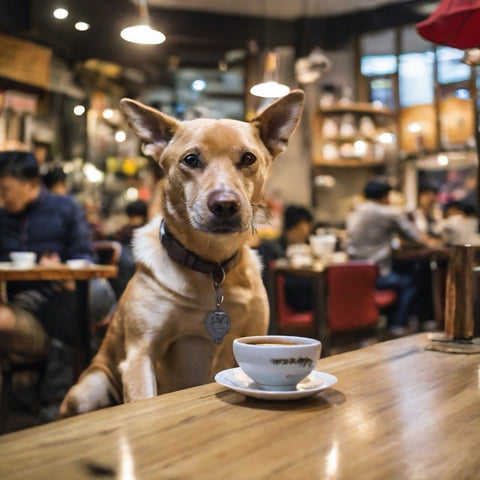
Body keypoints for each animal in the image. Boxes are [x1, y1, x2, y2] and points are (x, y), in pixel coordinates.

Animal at [59, 90, 304, 416]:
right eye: (191, 159)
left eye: (248, 158)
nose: (225, 204)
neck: (211, 266)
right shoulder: (140, 353)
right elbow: (142, 397)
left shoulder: (253, 336)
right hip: (88, 388)